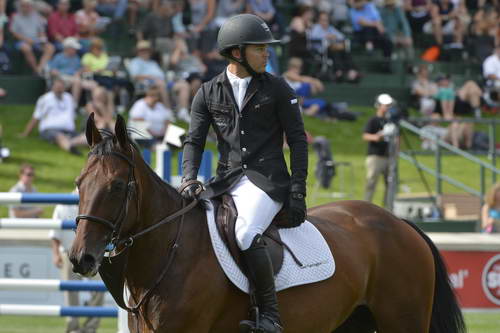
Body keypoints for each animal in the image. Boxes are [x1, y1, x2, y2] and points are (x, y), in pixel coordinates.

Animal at [69, 115, 464, 332]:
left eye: (117, 186)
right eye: (79, 183)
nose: (80, 258)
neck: (172, 250)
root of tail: (399, 222)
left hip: (403, 321)